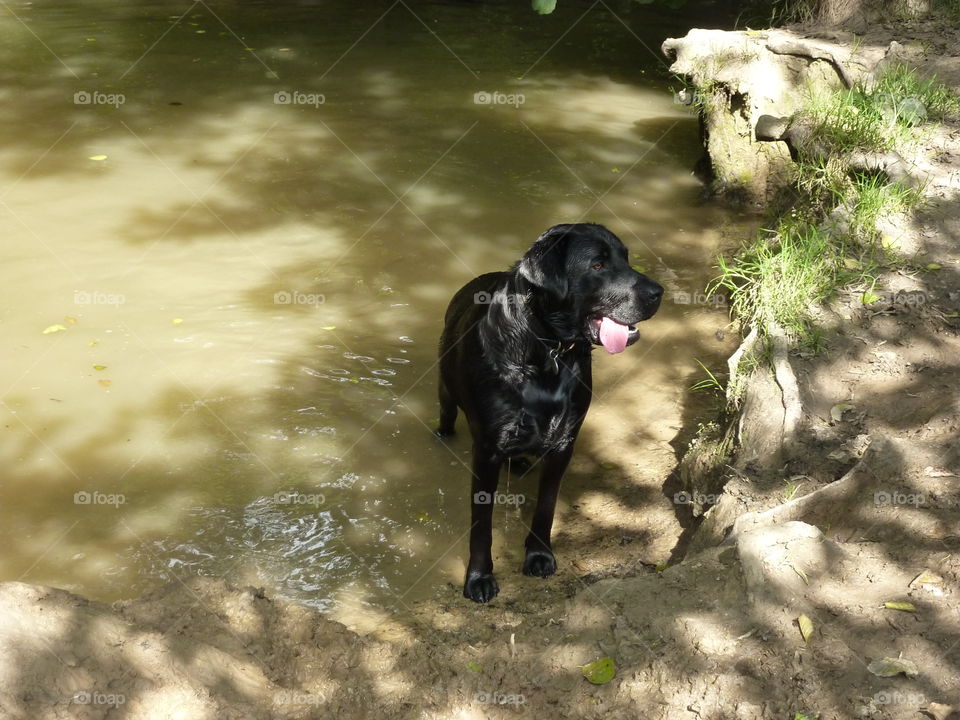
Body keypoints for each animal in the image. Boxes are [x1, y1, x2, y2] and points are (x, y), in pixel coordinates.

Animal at [436, 224, 660, 600]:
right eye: (598, 265)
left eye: (626, 259)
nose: (659, 293)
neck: (547, 350)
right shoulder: (487, 450)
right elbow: (482, 524)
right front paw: (479, 577)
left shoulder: (563, 442)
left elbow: (547, 505)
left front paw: (539, 555)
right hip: (445, 388)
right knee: (447, 412)